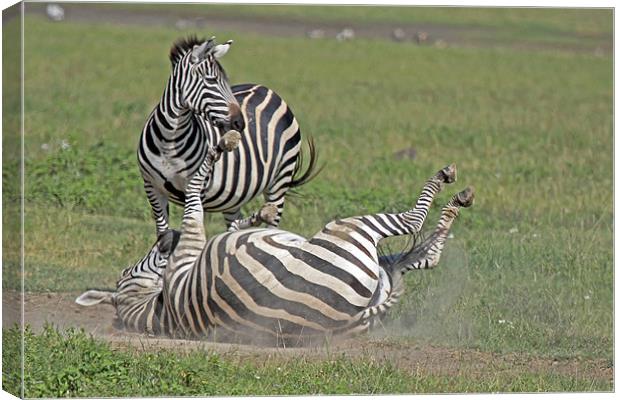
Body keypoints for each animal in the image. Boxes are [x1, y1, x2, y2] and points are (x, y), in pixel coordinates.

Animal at [76, 131, 474, 344]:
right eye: (129, 272)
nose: (165, 237)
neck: (158, 310)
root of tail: (348, 318)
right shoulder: (190, 244)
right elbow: (193, 193)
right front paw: (219, 146)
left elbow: (234, 222)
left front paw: (261, 215)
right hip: (346, 232)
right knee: (412, 223)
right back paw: (451, 187)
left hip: (372, 265)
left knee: (421, 255)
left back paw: (451, 208)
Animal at [138, 36, 318, 236]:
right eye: (211, 80)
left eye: (226, 81)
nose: (240, 123)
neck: (169, 141)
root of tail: (267, 89)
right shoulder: (151, 188)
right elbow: (163, 232)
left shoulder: (196, 189)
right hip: (233, 196)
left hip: (280, 179)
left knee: (272, 222)